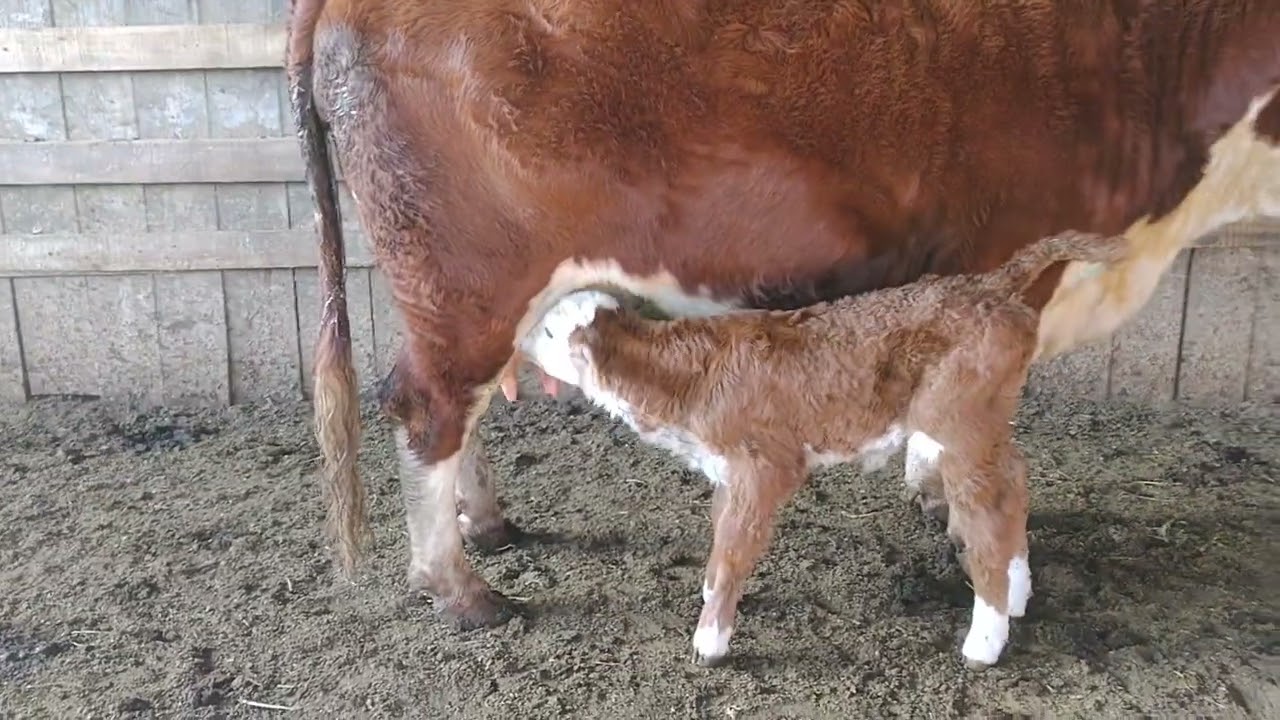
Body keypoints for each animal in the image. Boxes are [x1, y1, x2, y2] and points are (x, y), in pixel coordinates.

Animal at [284, 0, 1280, 636]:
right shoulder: (1011, 261)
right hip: (467, 274)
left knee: (466, 402)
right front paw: (942, 497)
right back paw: (461, 587)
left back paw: (486, 525)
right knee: (428, 405)